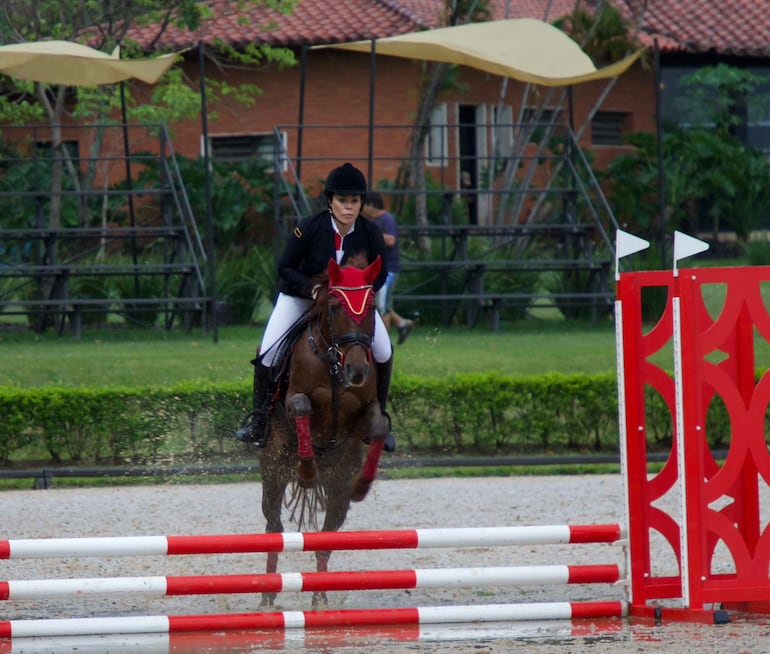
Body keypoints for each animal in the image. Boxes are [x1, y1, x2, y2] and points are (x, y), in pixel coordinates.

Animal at [260, 254, 390, 608]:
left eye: (371, 306)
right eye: (333, 305)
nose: (357, 370)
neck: (334, 363)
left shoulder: (364, 412)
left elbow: (379, 426)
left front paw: (362, 484)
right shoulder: (295, 399)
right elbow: (302, 407)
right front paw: (306, 471)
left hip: (336, 490)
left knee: (326, 537)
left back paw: (319, 596)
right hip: (273, 472)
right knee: (273, 527)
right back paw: (267, 596)